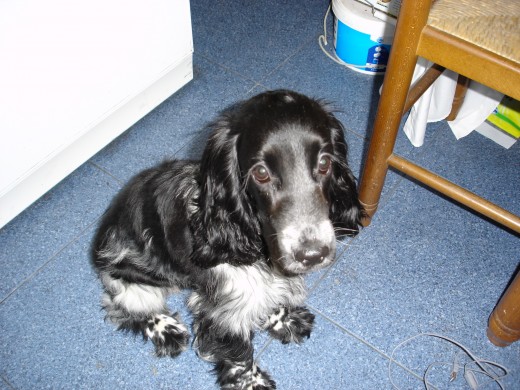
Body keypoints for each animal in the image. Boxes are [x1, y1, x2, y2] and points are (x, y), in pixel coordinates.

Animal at [92, 90, 362, 388]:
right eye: (261, 173)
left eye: (325, 162)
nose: (312, 254)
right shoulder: (222, 310)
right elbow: (238, 352)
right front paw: (252, 381)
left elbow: (268, 298)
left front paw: (284, 320)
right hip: (125, 276)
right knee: (125, 307)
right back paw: (167, 330)